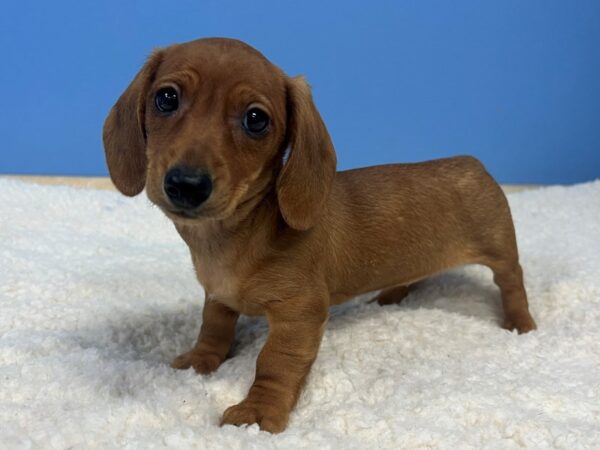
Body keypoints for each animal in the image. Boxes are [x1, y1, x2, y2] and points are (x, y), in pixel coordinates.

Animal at [101, 37, 536, 432]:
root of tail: (473, 163)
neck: (238, 232)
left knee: (512, 282)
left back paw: (521, 324)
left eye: (256, 119)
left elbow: (274, 362)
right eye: (166, 98)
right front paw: (200, 361)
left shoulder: (300, 314)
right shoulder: (218, 296)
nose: (187, 184)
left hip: (500, 251)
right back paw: (390, 296)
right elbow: (213, 328)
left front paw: (258, 411)